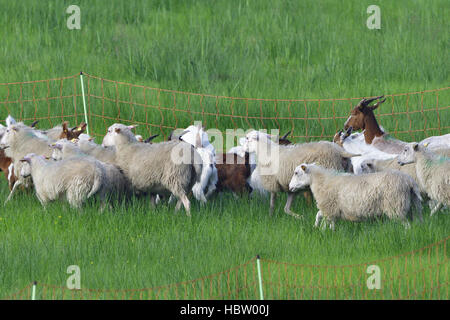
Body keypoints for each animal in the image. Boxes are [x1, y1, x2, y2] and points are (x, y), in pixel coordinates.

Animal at [288, 164, 422, 229]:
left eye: (296, 173)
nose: (289, 187)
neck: (322, 182)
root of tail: (409, 181)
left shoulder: (329, 207)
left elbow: (322, 219)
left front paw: (322, 230)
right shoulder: (331, 210)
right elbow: (320, 216)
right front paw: (319, 228)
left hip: (396, 206)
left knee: (407, 225)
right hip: (412, 206)